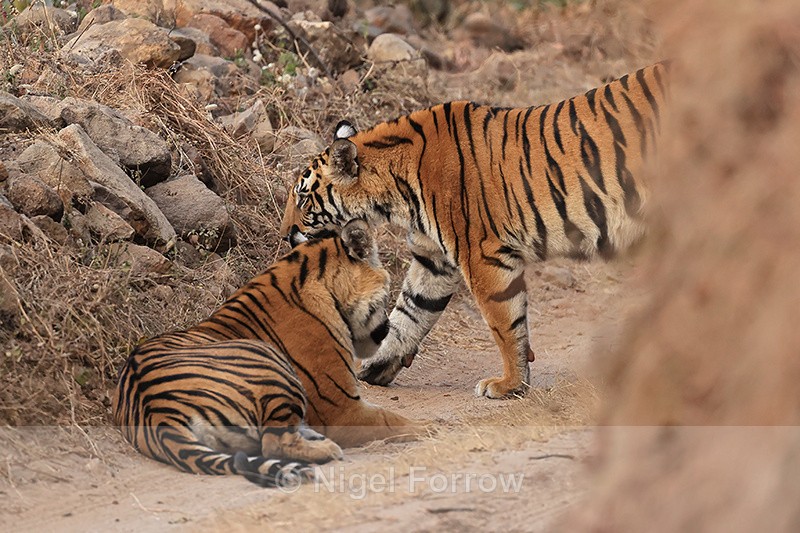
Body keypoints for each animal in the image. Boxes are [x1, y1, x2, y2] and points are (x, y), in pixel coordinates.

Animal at [113, 219, 421, 487]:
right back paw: (327, 449)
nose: (388, 327)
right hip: (269, 363)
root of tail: (156, 411)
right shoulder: (344, 410)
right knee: (273, 444)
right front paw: (430, 428)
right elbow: (396, 420)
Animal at [280, 63, 668, 399]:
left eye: (302, 198)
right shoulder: (433, 260)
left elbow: (504, 323)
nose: (284, 235)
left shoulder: (482, 256)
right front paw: (375, 365)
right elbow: (408, 313)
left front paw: (509, 385)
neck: (395, 193)